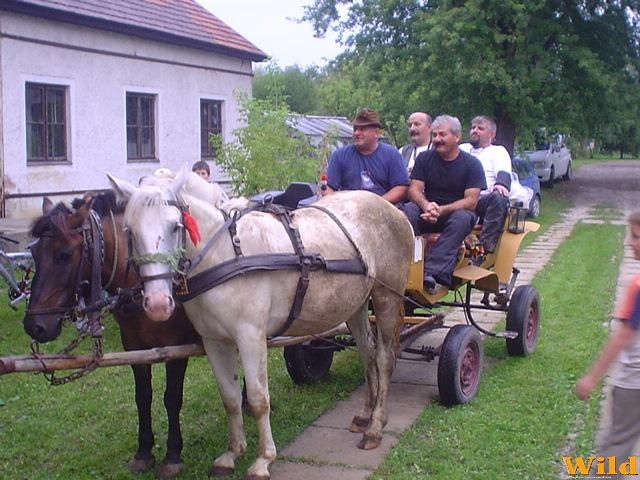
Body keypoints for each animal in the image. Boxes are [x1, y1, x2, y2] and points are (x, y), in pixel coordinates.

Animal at [23, 191, 200, 480]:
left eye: (64, 255)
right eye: (35, 254)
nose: (34, 326)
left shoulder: (177, 347)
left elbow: (172, 398)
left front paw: (173, 455)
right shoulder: (134, 347)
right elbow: (143, 397)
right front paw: (144, 452)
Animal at [107, 169, 412, 480]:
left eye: (175, 226)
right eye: (129, 231)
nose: (157, 304)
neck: (226, 253)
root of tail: (392, 210)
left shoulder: (250, 337)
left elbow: (257, 398)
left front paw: (263, 459)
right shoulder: (214, 342)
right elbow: (230, 397)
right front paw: (232, 453)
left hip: (386, 296)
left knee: (383, 358)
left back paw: (375, 426)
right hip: (357, 304)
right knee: (367, 352)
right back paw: (364, 414)